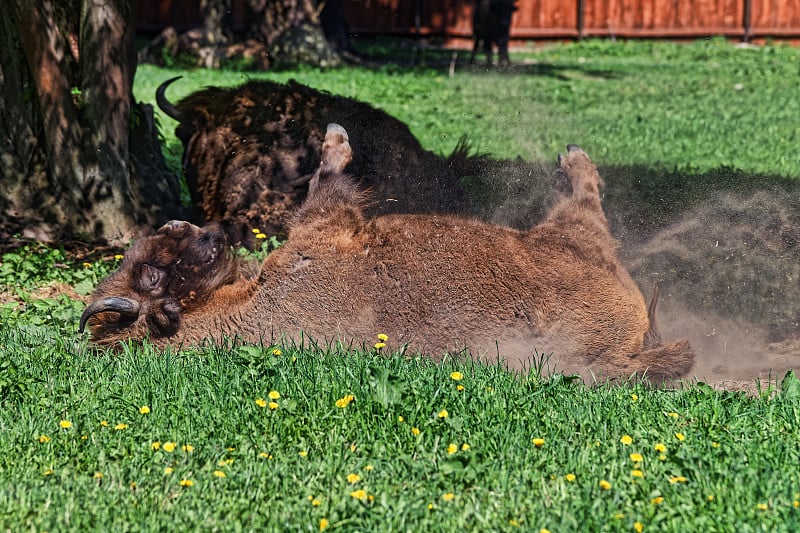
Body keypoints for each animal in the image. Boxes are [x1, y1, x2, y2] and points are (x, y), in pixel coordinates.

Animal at [79, 124, 692, 382]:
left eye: (160, 245)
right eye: (152, 276)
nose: (211, 235)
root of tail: (629, 340)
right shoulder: (325, 227)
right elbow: (328, 181)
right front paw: (335, 138)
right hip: (571, 235)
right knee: (587, 203)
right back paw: (573, 157)